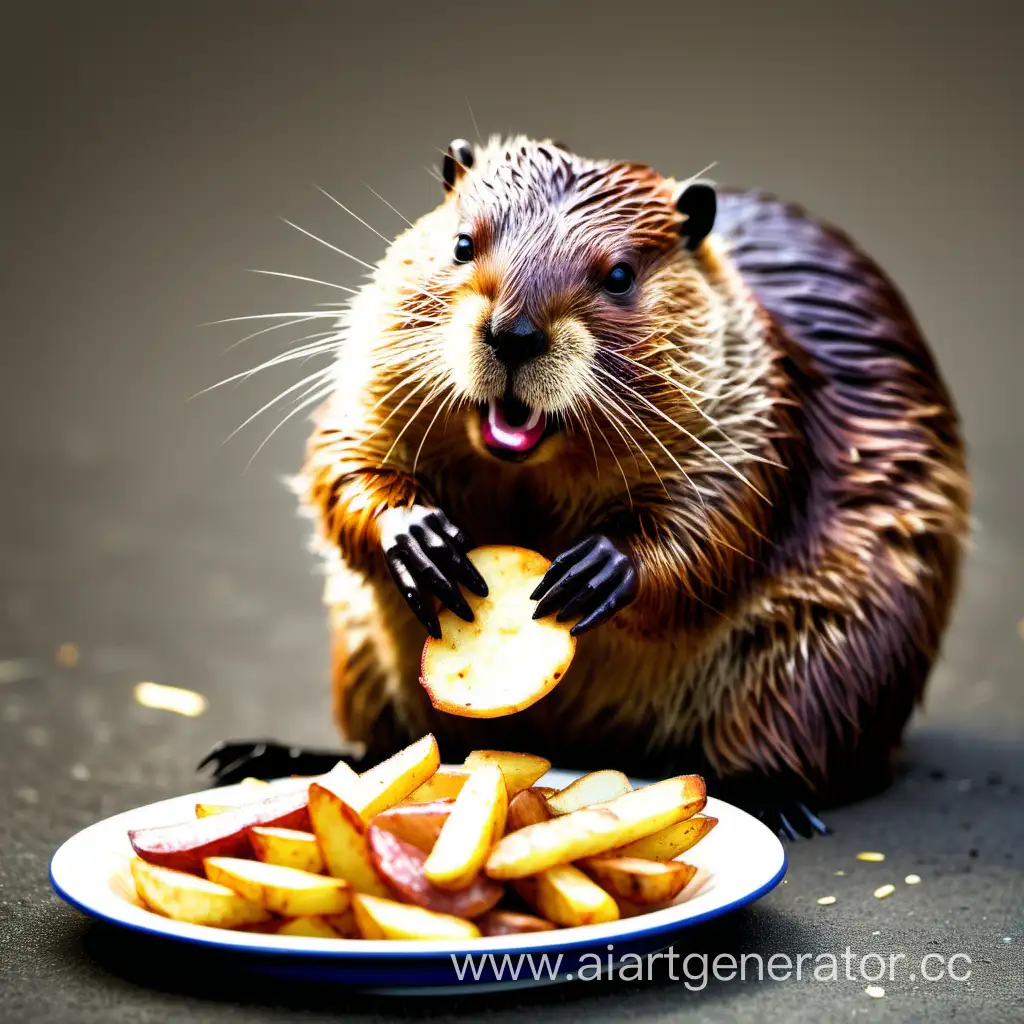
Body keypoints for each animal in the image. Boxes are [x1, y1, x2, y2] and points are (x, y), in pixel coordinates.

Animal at [201, 138, 974, 839]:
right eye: (460, 243)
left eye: (622, 274)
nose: (513, 333)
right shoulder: (373, 367)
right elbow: (341, 460)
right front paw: (420, 542)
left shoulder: (760, 388)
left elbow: (722, 513)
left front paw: (595, 571)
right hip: (361, 652)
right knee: (400, 742)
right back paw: (267, 756)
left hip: (832, 659)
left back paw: (773, 799)